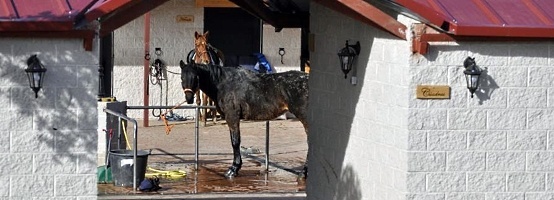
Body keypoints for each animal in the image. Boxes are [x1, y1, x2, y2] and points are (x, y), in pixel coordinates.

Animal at [179, 61, 308, 178]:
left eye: (195, 77)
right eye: (182, 77)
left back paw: (303, 173)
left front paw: (233, 169)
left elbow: (235, 142)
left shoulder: (232, 117)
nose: (189, 98)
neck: (223, 84)